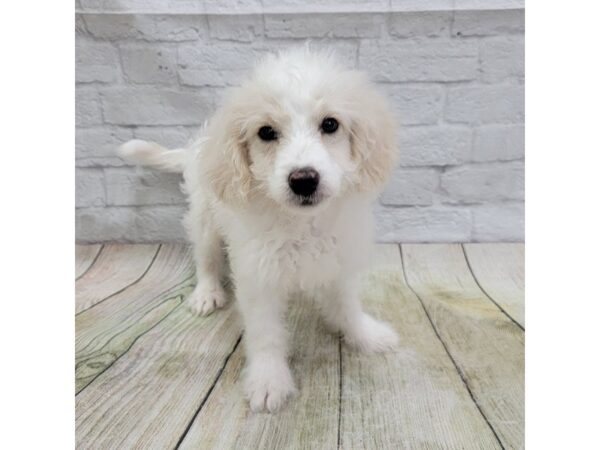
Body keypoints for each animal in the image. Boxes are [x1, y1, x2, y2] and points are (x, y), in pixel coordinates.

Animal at [117, 45, 398, 412]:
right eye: (266, 132)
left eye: (330, 124)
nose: (304, 180)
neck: (301, 225)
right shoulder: (258, 277)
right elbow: (266, 334)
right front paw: (268, 380)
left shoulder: (340, 262)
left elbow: (348, 306)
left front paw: (366, 335)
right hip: (204, 220)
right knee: (206, 260)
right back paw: (207, 293)